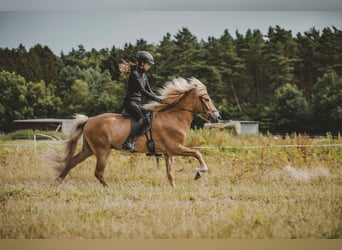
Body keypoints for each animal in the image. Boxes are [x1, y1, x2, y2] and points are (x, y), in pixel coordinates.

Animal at [52, 77, 220, 187]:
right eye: (206, 99)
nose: (217, 117)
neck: (174, 117)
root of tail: (89, 119)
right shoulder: (175, 148)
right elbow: (197, 153)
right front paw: (199, 172)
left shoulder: (169, 152)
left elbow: (170, 174)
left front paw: (173, 189)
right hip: (102, 151)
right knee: (98, 172)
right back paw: (108, 189)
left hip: (89, 149)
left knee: (72, 162)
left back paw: (57, 182)